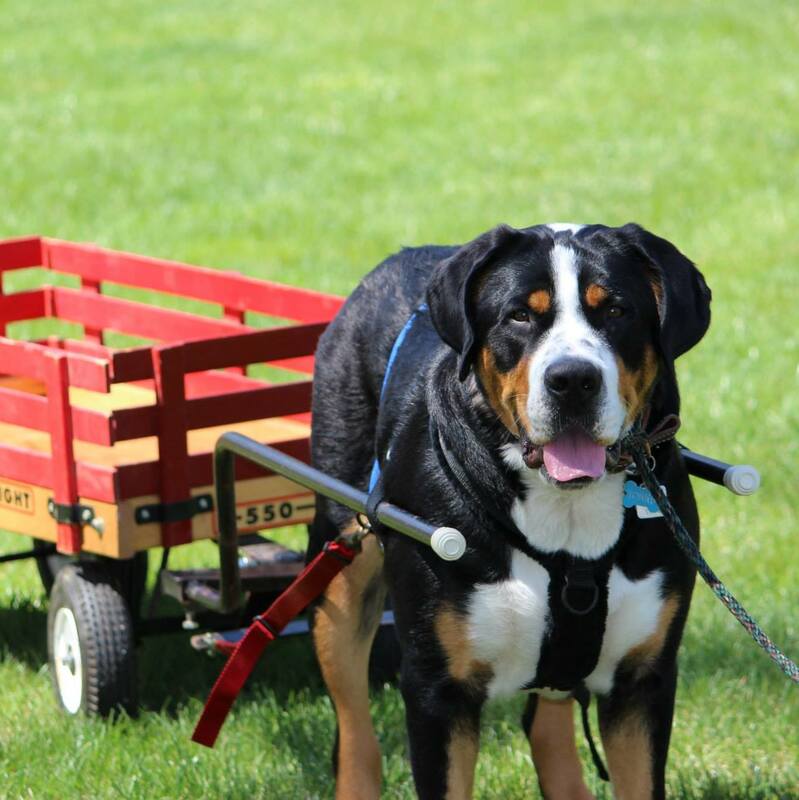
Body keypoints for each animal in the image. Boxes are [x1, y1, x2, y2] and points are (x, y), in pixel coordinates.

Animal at [306, 220, 712, 800]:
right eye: (520, 314)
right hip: (342, 569)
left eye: (615, 309)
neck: (568, 514)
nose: (573, 379)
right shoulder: (437, 690)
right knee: (355, 730)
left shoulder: (643, 680)